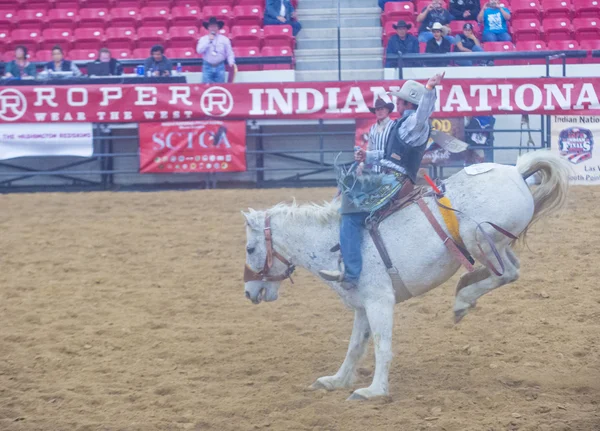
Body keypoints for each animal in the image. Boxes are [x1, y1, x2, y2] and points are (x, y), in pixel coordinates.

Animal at [241, 152, 568, 402]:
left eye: (250, 248)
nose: (248, 292)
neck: (330, 242)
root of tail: (516, 171)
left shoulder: (379, 301)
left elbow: (381, 345)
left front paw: (373, 391)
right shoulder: (363, 306)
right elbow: (355, 346)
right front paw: (336, 380)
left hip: (481, 240)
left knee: (507, 272)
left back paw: (463, 298)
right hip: (495, 244)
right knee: (510, 268)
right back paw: (464, 293)